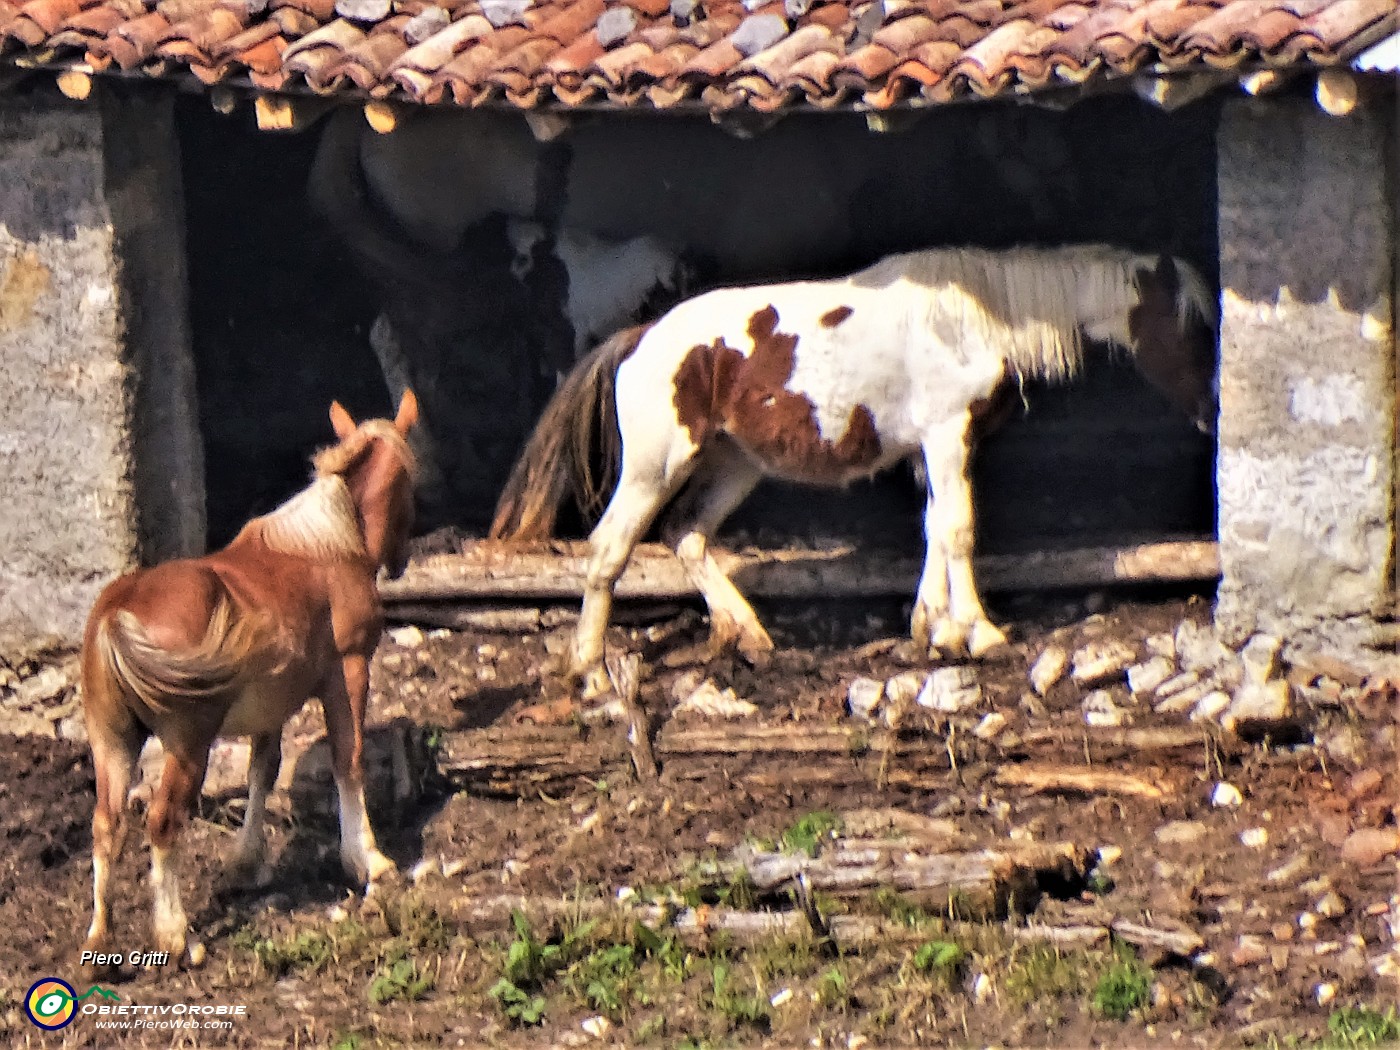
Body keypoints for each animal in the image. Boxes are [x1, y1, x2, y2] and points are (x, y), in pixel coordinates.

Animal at [80, 392, 417, 968]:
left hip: (113, 742)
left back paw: (100, 937)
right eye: (412, 480)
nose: (398, 561)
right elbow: (347, 759)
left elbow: (263, 771)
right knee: (162, 822)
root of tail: (116, 612)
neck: (323, 545)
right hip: (187, 744)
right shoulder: (348, 672)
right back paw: (178, 938)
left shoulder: (270, 707)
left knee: (107, 825)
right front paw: (369, 860)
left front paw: (247, 863)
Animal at [492, 242, 1215, 694]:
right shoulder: (947, 435)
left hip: (734, 466)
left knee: (688, 536)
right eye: (1192, 325)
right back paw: (589, 669)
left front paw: (933, 628)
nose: (1215, 409)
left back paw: (748, 634)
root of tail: (640, 337)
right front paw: (979, 632)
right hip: (654, 468)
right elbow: (959, 531)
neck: (973, 318)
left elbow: (934, 531)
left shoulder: (935, 447)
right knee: (610, 550)